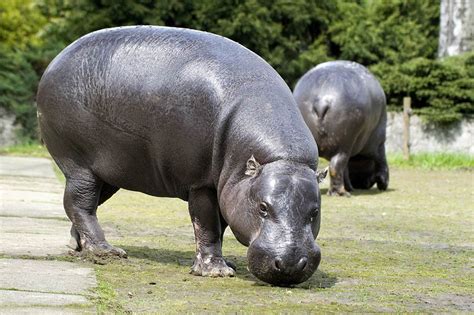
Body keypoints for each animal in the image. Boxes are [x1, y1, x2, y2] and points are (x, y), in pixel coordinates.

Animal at [37, 25, 328, 288]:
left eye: (315, 212)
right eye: (263, 207)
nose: (290, 263)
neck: (281, 159)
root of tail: (55, 62)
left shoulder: (226, 188)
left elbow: (221, 226)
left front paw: (224, 264)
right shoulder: (201, 183)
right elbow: (208, 225)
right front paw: (216, 271)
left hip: (108, 174)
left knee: (87, 204)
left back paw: (79, 245)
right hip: (79, 166)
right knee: (80, 204)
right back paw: (106, 251)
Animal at [292, 61, 388, 198]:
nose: (360, 184)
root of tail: (322, 100)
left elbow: (346, 170)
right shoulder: (379, 143)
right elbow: (382, 163)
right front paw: (383, 185)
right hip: (345, 143)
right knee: (336, 166)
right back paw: (342, 193)